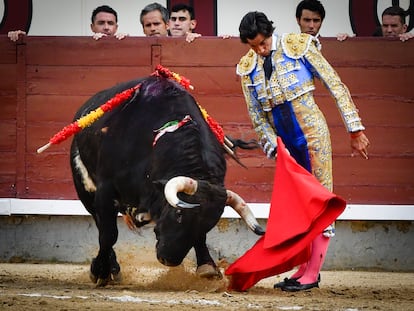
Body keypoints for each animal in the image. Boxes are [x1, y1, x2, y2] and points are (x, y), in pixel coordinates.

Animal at [69, 74, 264, 286]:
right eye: (178, 213)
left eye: (209, 223)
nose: (169, 260)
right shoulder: (106, 189)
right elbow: (108, 234)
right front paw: (100, 272)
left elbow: (201, 238)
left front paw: (207, 267)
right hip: (86, 192)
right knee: (100, 225)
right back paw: (111, 270)